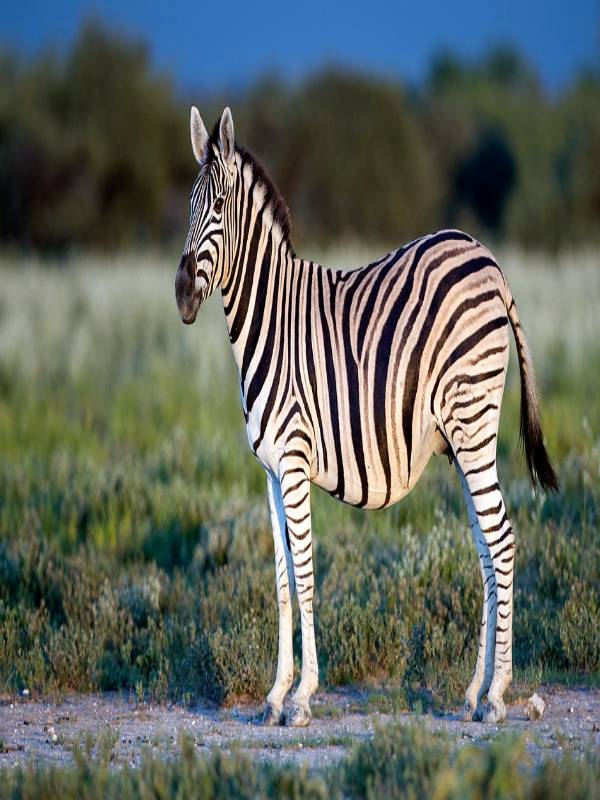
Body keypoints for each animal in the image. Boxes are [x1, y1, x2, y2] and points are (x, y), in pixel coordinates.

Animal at [175, 106, 558, 728]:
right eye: (189, 204)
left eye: (219, 207)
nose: (183, 294)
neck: (269, 321)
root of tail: (489, 260)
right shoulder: (270, 470)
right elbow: (280, 579)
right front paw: (275, 694)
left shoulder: (295, 459)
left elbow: (306, 575)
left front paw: (303, 697)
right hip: (462, 440)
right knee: (485, 549)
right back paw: (475, 691)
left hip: (473, 422)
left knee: (501, 539)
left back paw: (499, 695)